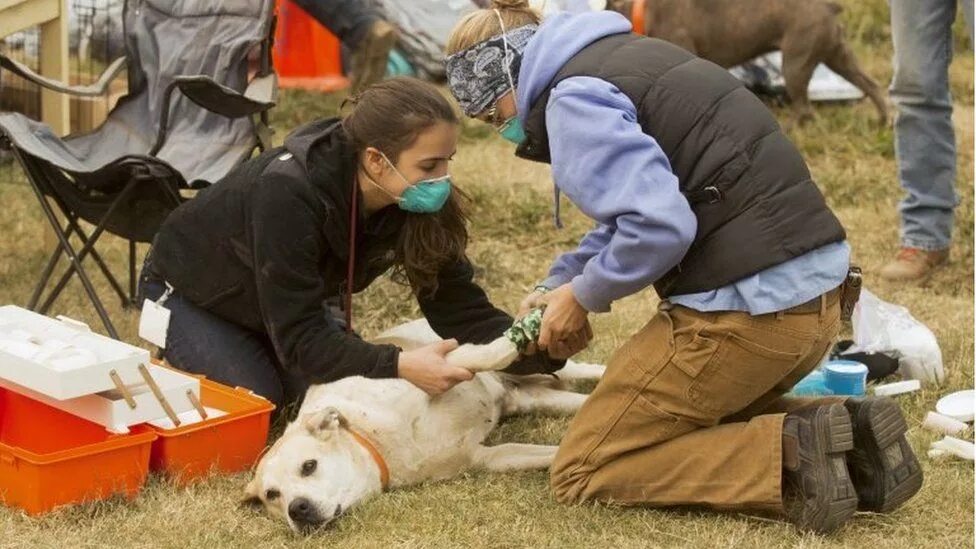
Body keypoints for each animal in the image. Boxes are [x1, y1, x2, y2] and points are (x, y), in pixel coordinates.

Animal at [243, 318, 604, 532]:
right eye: (272, 495)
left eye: (309, 466)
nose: (297, 509)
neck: (374, 439)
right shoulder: (485, 458)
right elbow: (551, 455)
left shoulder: (440, 363)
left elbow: (486, 354)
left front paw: (520, 334)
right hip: (535, 398)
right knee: (581, 401)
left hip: (546, 370)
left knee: (588, 370)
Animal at [612, 0, 888, 123]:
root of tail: (829, 8)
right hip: (838, 57)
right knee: (871, 85)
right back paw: (883, 121)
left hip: (795, 64)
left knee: (803, 108)